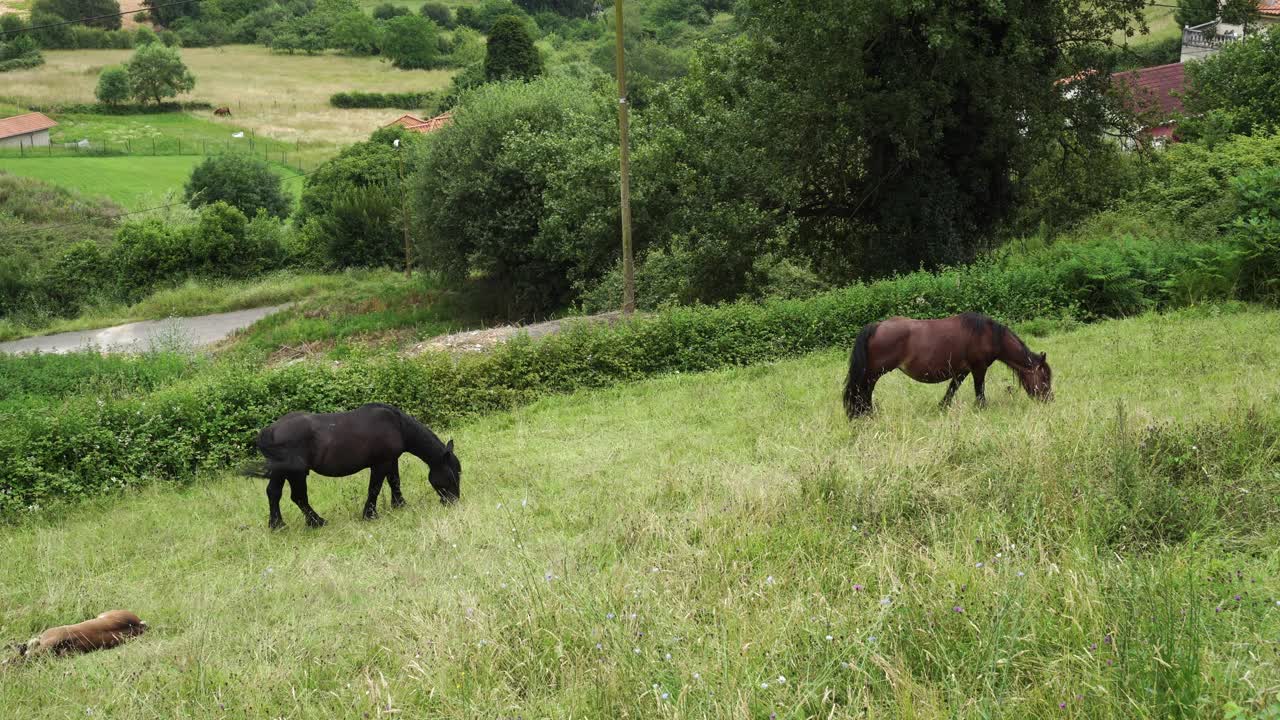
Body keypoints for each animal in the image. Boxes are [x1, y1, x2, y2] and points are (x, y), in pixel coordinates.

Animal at [240, 404, 460, 527]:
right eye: (452, 475)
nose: (453, 501)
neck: (397, 425)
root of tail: (270, 430)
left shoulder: (391, 460)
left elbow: (394, 482)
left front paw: (399, 505)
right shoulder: (380, 463)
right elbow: (375, 488)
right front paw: (370, 515)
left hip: (281, 472)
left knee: (274, 493)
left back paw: (278, 525)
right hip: (296, 473)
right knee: (298, 497)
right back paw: (317, 522)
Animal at [839, 312, 1049, 417]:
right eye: (1045, 378)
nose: (1048, 400)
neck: (987, 334)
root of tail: (876, 326)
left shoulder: (962, 371)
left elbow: (951, 389)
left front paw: (941, 408)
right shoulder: (978, 368)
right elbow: (979, 391)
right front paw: (981, 409)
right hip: (874, 373)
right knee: (863, 391)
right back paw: (864, 414)